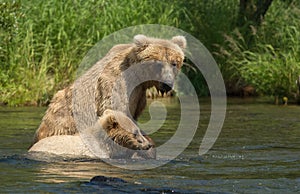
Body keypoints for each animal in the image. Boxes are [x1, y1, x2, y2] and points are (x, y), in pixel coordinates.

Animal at [29, 34, 185, 156]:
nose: (167, 84)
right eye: (158, 64)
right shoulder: (118, 84)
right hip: (62, 125)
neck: (139, 77)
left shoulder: (139, 94)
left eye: (174, 63)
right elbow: (116, 109)